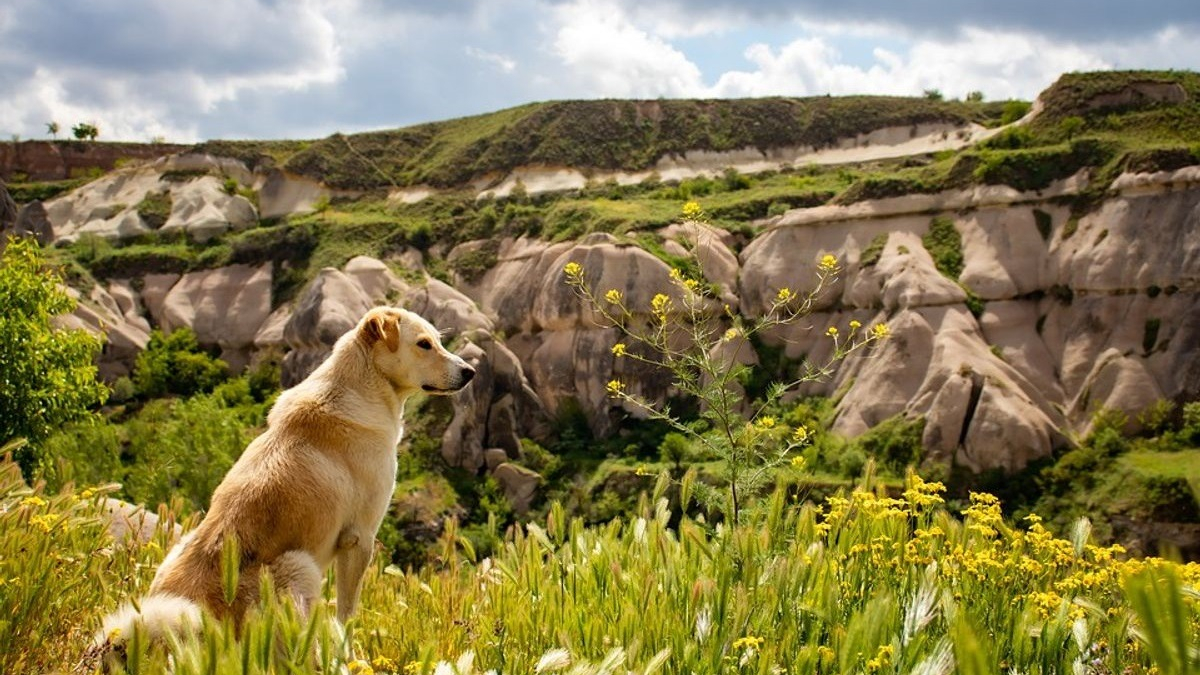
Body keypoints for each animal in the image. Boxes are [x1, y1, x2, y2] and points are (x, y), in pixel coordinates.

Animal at [82, 305, 475, 667]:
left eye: (438, 340)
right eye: (424, 344)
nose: (470, 371)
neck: (360, 385)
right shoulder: (359, 538)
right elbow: (347, 614)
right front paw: (349, 658)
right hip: (298, 566)